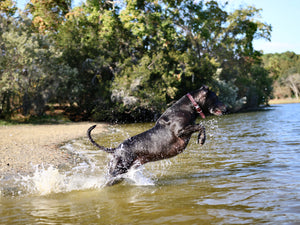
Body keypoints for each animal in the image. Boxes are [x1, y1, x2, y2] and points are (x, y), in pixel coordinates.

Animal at [86, 85, 225, 185]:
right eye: (216, 97)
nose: (226, 107)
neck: (189, 106)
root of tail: (116, 149)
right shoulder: (180, 132)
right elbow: (201, 126)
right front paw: (201, 139)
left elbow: (200, 126)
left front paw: (201, 138)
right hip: (119, 167)